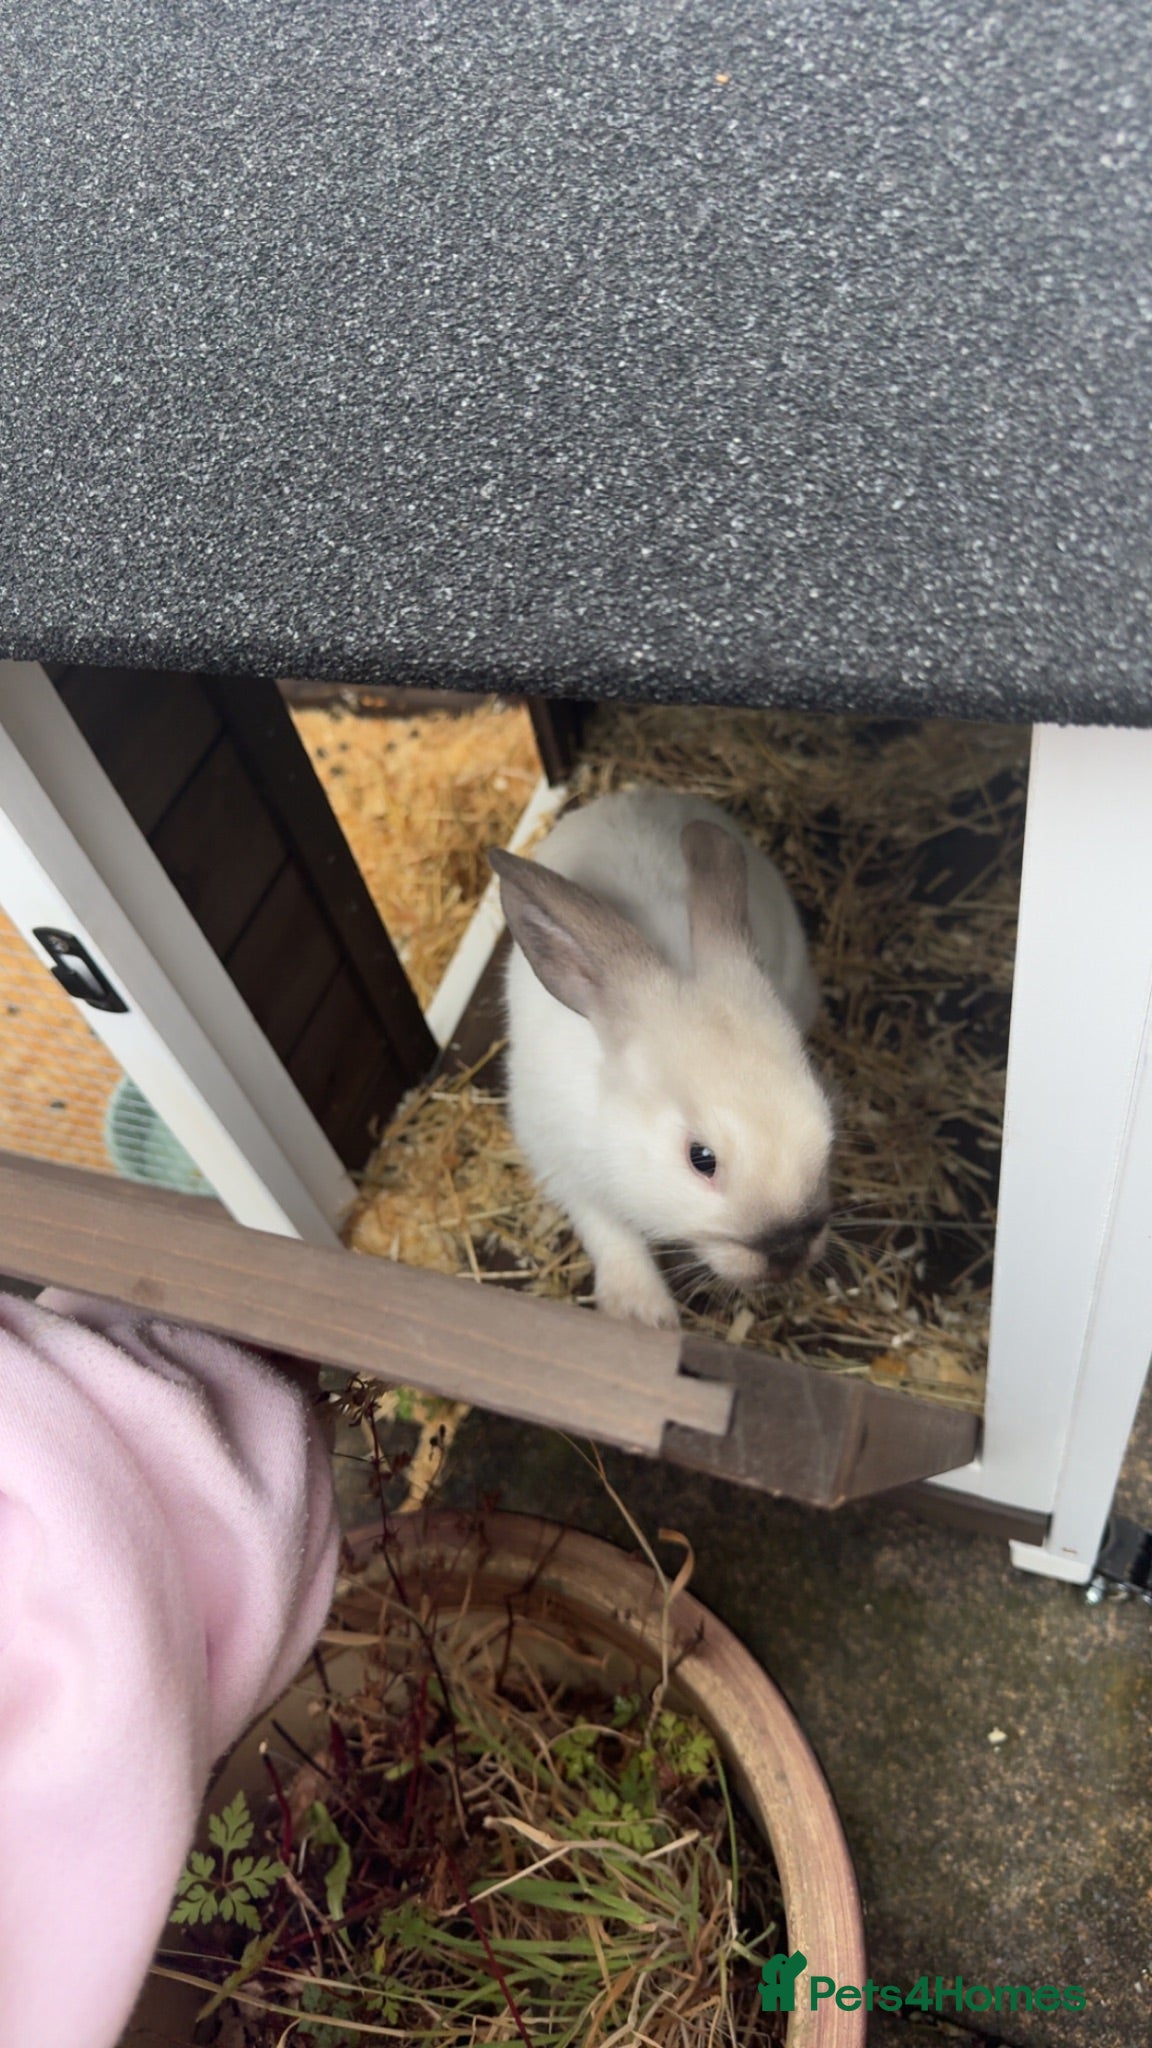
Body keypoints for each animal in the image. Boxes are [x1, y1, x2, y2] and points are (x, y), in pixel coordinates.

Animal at [490, 787, 834, 1329]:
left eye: (823, 1124)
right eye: (701, 1158)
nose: (788, 1251)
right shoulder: (560, 1159)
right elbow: (608, 1229)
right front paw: (640, 1315)